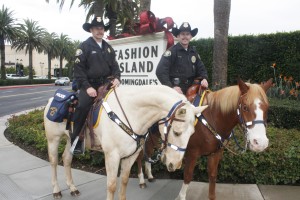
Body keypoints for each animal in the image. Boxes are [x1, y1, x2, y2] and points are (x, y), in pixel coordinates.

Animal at [44, 85, 207, 200]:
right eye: (177, 132)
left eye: (192, 133)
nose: (176, 164)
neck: (131, 113)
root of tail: (50, 101)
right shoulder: (112, 156)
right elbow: (111, 186)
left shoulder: (130, 156)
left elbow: (123, 182)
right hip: (53, 139)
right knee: (53, 161)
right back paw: (56, 190)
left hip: (71, 139)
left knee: (66, 159)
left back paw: (72, 188)